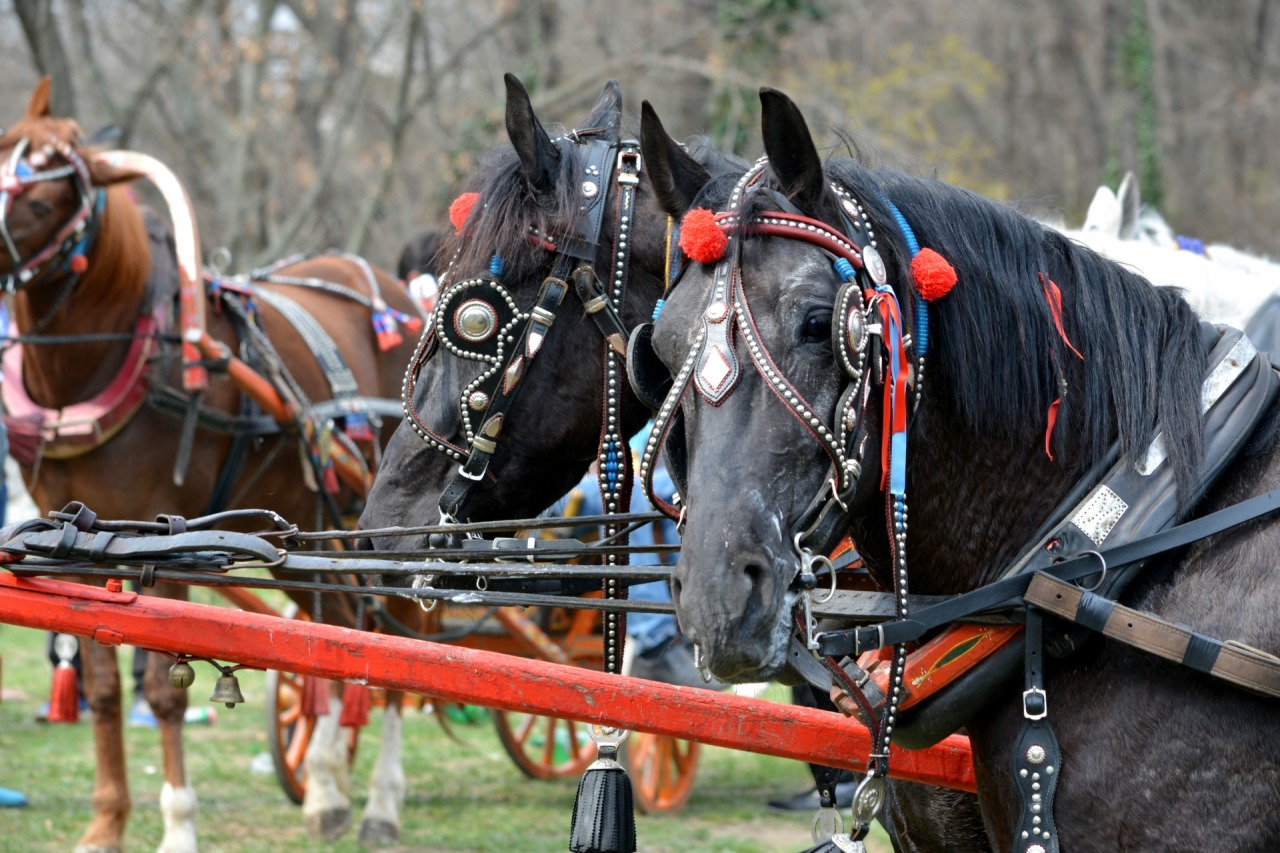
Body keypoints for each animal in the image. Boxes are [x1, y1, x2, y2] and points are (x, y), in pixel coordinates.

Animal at [1, 76, 424, 845]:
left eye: (42, 201)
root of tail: (400, 293)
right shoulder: (75, 540)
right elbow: (103, 687)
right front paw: (107, 823)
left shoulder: (167, 536)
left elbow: (166, 688)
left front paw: (177, 826)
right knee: (341, 625)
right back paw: (326, 784)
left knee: (395, 637)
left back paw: (380, 800)